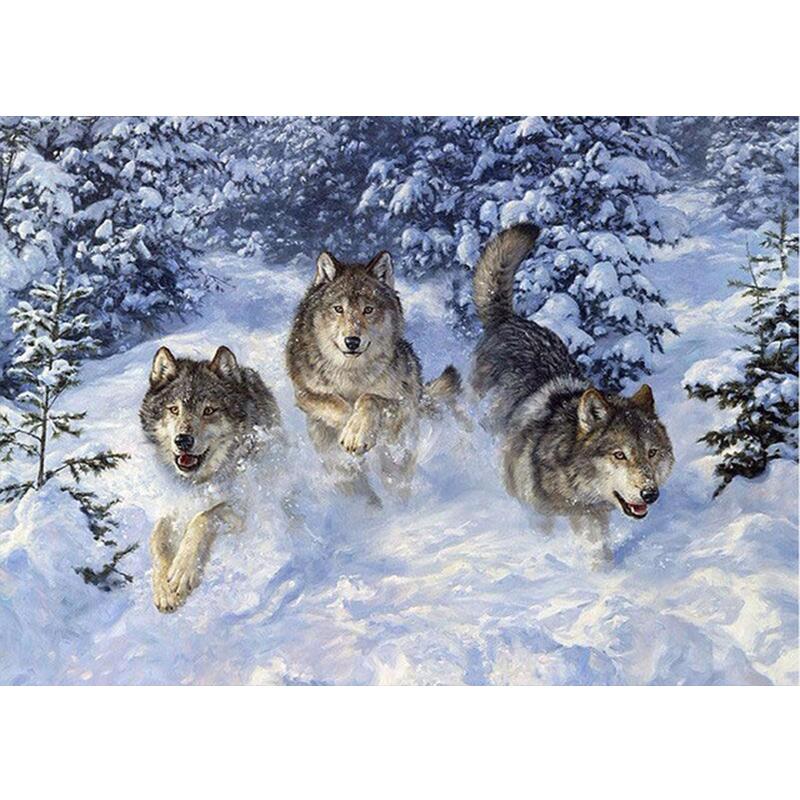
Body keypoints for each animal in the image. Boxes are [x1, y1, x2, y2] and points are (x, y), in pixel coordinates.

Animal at [140, 345, 282, 612]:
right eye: (174, 409)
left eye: (209, 410)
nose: (183, 440)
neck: (201, 481)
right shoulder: (176, 505)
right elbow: (157, 539)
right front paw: (163, 588)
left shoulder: (242, 506)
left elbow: (203, 517)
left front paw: (182, 570)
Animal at [286, 249, 462, 505]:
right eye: (338, 309)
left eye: (368, 310)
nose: (352, 341)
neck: (352, 373)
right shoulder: (305, 394)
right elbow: (336, 403)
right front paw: (351, 428)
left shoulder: (403, 403)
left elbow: (369, 398)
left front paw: (357, 431)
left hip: (398, 460)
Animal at [472, 224, 674, 559]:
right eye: (619, 455)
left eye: (652, 452)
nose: (650, 493)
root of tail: (509, 320)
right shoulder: (537, 515)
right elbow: (543, 536)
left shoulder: (592, 514)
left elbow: (598, 551)